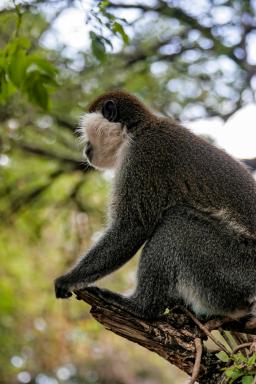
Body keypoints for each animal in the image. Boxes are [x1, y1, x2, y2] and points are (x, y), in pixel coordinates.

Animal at [54, 89, 256, 320]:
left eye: (87, 137)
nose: (86, 149)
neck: (138, 130)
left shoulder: (141, 155)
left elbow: (132, 227)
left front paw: (68, 280)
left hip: (236, 268)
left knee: (176, 223)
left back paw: (141, 307)